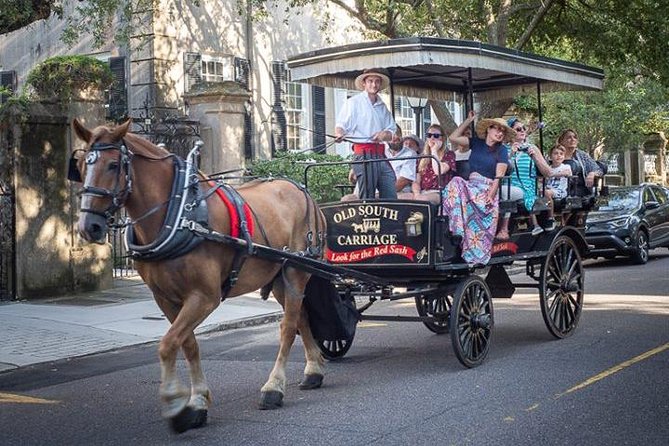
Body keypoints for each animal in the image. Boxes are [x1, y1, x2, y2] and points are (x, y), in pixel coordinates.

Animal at [70, 118, 326, 432]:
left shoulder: (204, 297)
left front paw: (175, 404)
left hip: (295, 271)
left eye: (113, 165)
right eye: (80, 164)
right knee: (301, 318)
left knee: (288, 327)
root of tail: (300, 189)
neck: (179, 213)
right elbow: (188, 344)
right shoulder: (165, 298)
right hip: (279, 278)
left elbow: (168, 344)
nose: (88, 226)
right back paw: (313, 369)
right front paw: (198, 401)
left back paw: (273, 387)